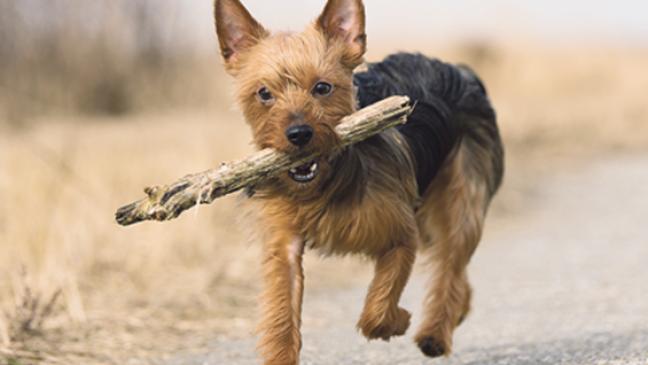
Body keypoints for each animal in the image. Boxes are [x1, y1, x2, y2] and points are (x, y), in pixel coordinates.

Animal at [215, 1, 504, 362]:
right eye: (264, 94)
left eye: (322, 88)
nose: (298, 134)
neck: (326, 182)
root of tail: (459, 70)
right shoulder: (284, 248)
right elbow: (282, 317)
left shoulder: (401, 235)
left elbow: (377, 310)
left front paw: (398, 321)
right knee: (454, 266)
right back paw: (460, 309)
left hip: (461, 195)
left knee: (452, 256)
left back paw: (435, 333)